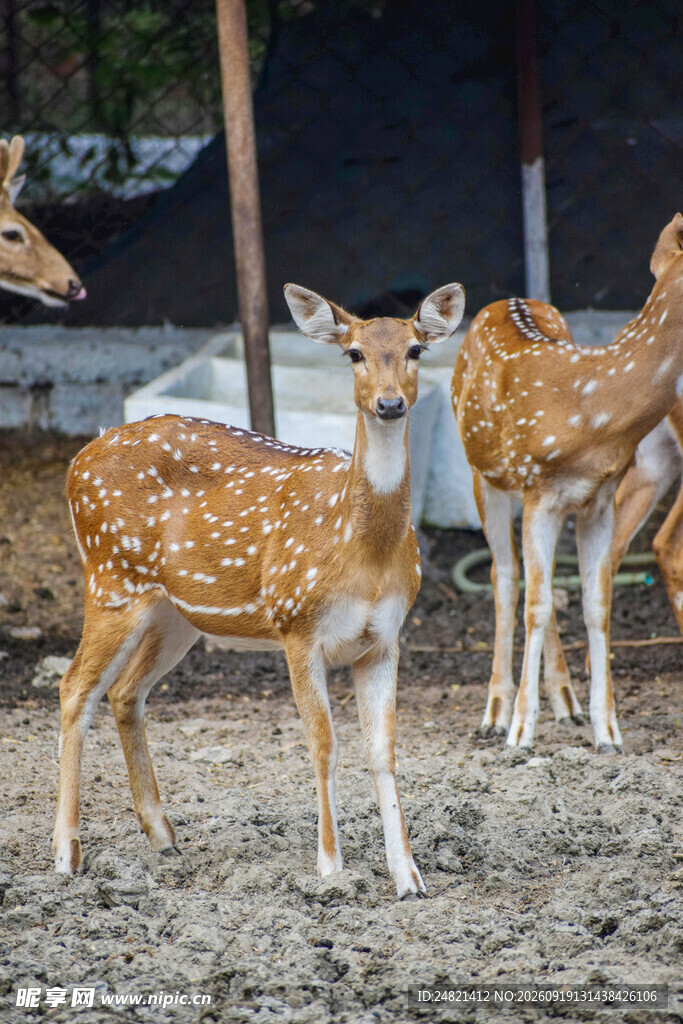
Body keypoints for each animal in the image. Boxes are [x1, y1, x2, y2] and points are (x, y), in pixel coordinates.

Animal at [53, 281, 465, 897]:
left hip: (175, 612)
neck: (362, 554)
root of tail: (76, 460)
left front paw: (408, 877)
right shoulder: (298, 624)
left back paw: (164, 837)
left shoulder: (385, 638)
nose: (390, 404)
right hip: (111, 578)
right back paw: (66, 855)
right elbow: (323, 744)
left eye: (417, 349)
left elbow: (383, 749)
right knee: (75, 688)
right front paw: (330, 869)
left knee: (126, 691)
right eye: (354, 353)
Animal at [451, 213, 683, 753]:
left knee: (541, 580)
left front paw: (608, 731)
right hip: (484, 476)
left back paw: (565, 700)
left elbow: (596, 604)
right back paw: (494, 712)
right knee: (504, 575)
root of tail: (504, 300)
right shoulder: (539, 491)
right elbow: (533, 604)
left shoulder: (597, 498)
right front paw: (520, 731)